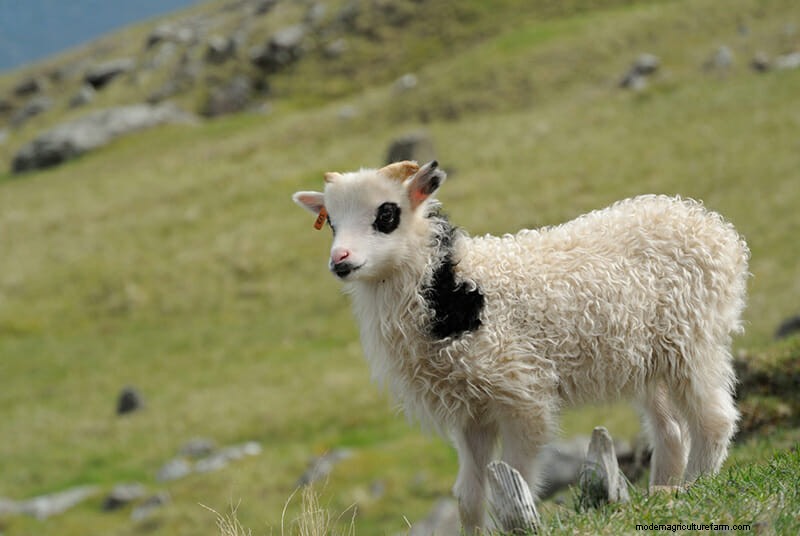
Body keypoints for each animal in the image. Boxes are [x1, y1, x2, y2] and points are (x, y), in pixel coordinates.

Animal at [292, 160, 749, 533]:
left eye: (386, 214)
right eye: (331, 222)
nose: (340, 260)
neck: (448, 290)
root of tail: (707, 223)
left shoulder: (522, 397)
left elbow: (516, 483)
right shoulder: (472, 412)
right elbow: (469, 496)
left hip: (694, 340)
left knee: (713, 421)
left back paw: (694, 490)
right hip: (650, 359)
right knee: (670, 432)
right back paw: (661, 495)